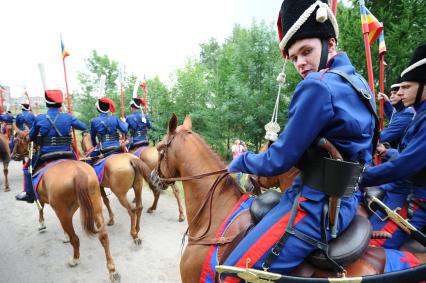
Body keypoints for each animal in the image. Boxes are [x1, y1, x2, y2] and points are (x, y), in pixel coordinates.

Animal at [12, 130, 120, 282]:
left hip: (63, 212)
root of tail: (78, 172)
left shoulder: (44, 199)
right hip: (95, 207)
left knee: (75, 238)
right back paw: (112, 270)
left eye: (18, 140)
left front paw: (42, 224)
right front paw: (64, 234)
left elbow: (40, 208)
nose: (13, 155)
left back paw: (75, 259)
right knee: (103, 235)